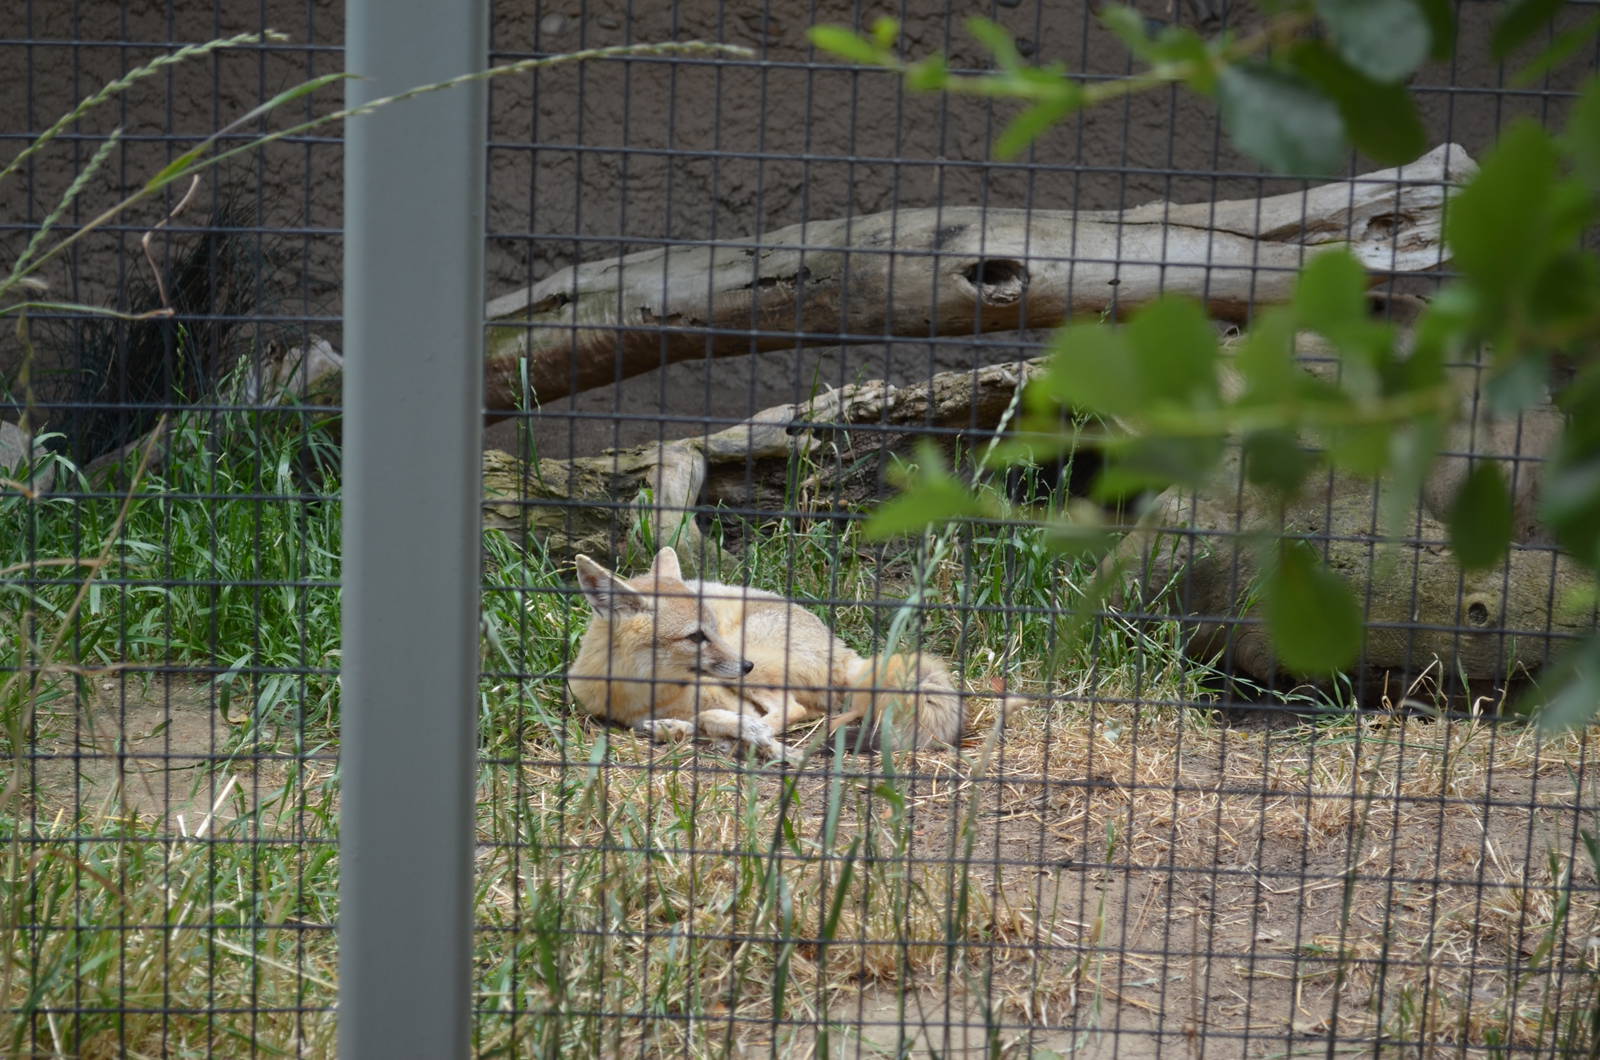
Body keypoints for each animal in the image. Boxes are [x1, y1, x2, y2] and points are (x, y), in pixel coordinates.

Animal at [567, 546, 964, 762]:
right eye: (696, 636)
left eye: (712, 627)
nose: (745, 665)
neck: (638, 692)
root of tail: (843, 650)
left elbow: (721, 718)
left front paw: (727, 730)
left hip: (754, 663)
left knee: (797, 709)